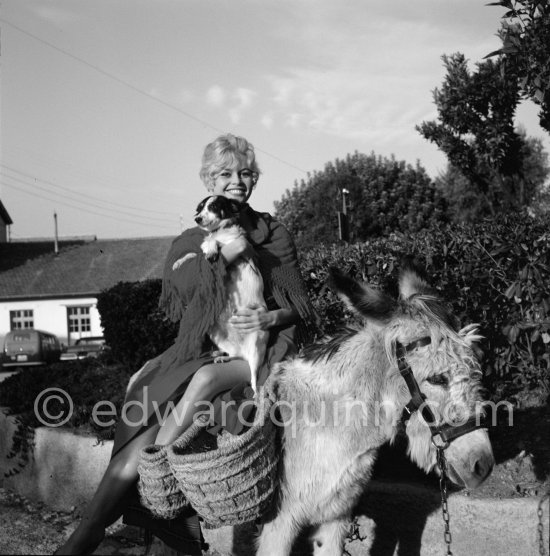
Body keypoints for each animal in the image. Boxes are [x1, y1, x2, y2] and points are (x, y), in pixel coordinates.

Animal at [172, 198, 268, 394]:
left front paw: (211, 247)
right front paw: (179, 262)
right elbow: (195, 254)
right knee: (236, 356)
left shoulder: (238, 251)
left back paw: (255, 394)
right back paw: (222, 356)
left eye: (214, 206)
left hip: (256, 344)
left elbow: (215, 243)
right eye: (200, 208)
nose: (197, 218)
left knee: (253, 378)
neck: (220, 230)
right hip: (215, 334)